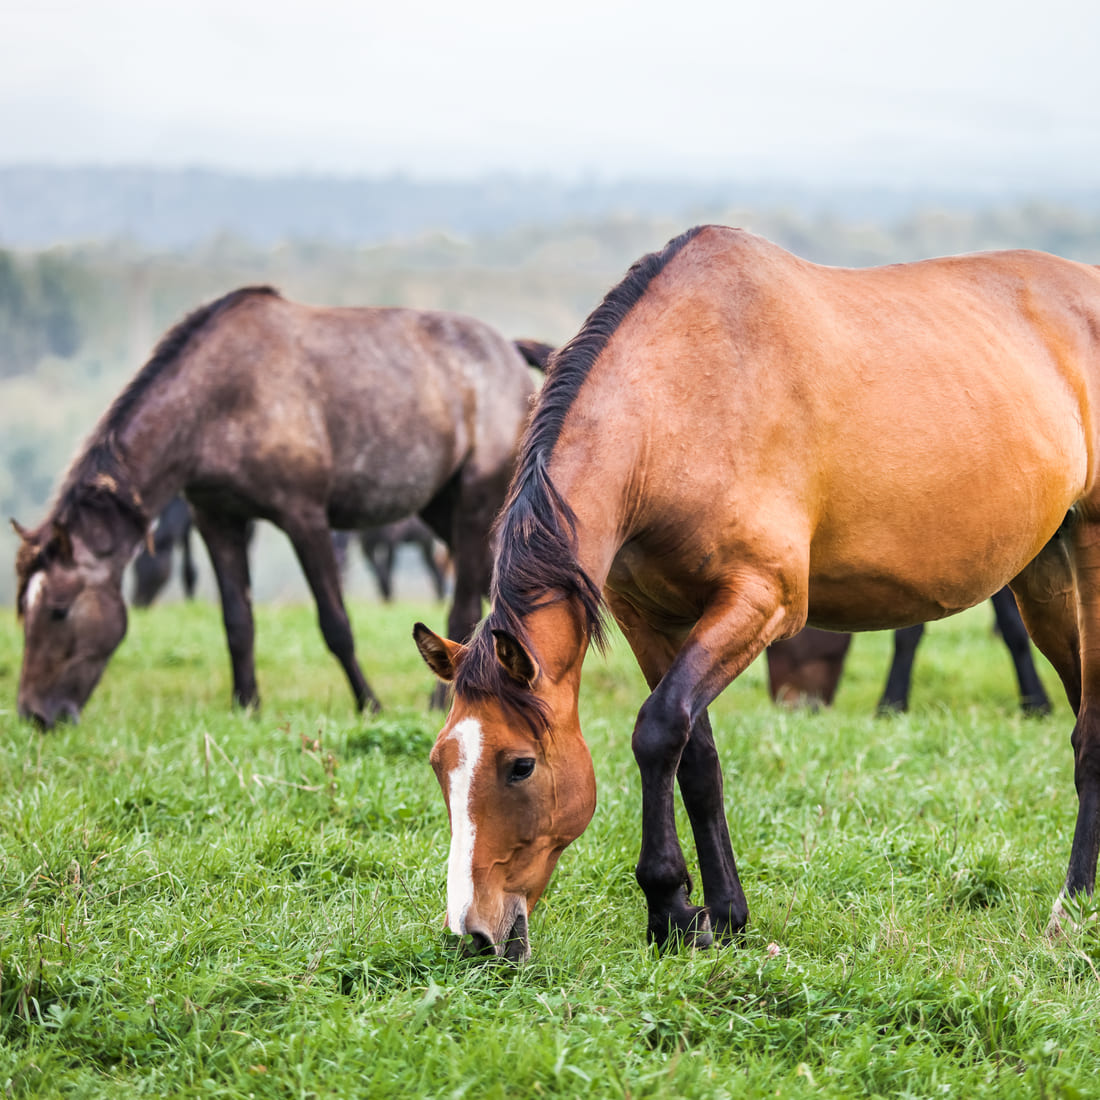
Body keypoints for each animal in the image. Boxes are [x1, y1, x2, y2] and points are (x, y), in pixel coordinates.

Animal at [18, 288, 545, 726]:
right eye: (23, 609)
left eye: (59, 611)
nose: (35, 715)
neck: (218, 399)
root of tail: (510, 353)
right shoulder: (217, 519)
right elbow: (237, 620)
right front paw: (246, 704)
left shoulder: (304, 516)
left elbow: (336, 623)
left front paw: (369, 704)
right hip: (442, 507)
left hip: (475, 503)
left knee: (463, 605)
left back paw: (443, 702)